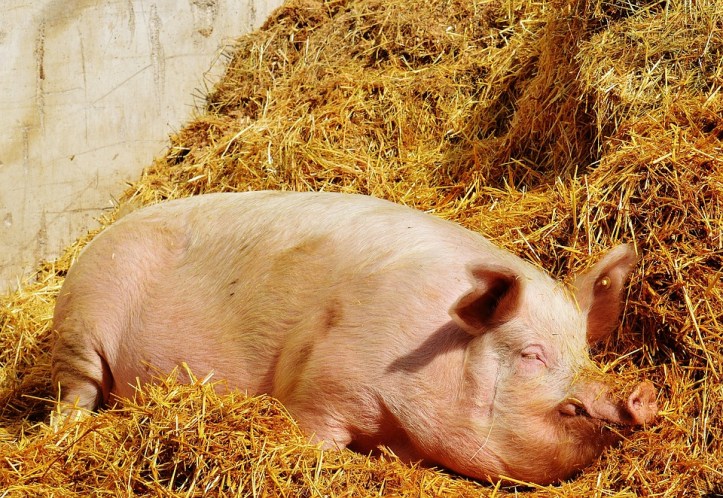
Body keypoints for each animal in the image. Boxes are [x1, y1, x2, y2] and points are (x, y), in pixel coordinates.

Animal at [51, 190, 657, 485]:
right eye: (532, 355)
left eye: (584, 352)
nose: (643, 393)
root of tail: (101, 236)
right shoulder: (320, 384)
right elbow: (312, 433)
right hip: (81, 323)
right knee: (75, 393)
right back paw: (67, 429)